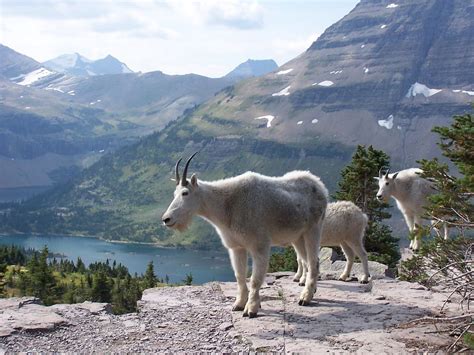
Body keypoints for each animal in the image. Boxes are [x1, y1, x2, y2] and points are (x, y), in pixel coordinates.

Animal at [161, 152, 328, 318]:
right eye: (174, 193)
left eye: (185, 193)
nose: (166, 219)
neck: (227, 205)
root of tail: (321, 186)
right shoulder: (236, 247)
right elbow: (240, 276)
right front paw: (239, 304)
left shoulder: (260, 245)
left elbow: (255, 279)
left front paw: (251, 309)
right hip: (298, 236)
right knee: (307, 261)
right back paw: (311, 290)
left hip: (314, 228)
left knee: (314, 262)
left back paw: (305, 298)